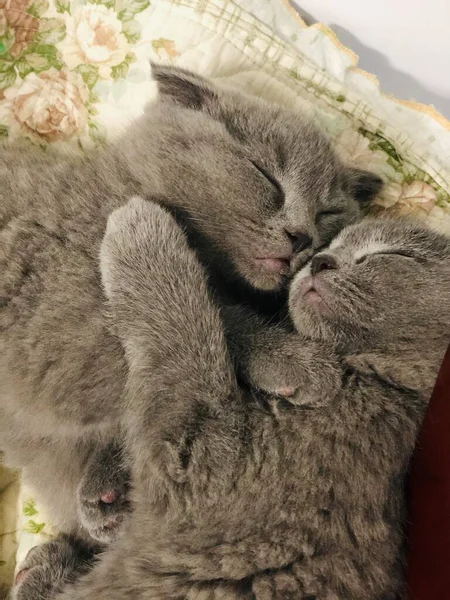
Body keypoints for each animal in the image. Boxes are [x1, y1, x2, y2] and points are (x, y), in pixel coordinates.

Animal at [0, 65, 380, 548]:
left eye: (329, 211)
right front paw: (299, 362)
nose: (302, 237)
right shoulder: (62, 285)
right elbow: (215, 320)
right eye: (265, 175)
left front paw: (106, 491)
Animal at [13, 200, 446, 600]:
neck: (376, 382)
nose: (320, 261)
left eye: (393, 255)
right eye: (331, 246)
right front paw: (107, 494)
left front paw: (140, 226)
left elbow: (187, 337)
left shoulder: (201, 465)